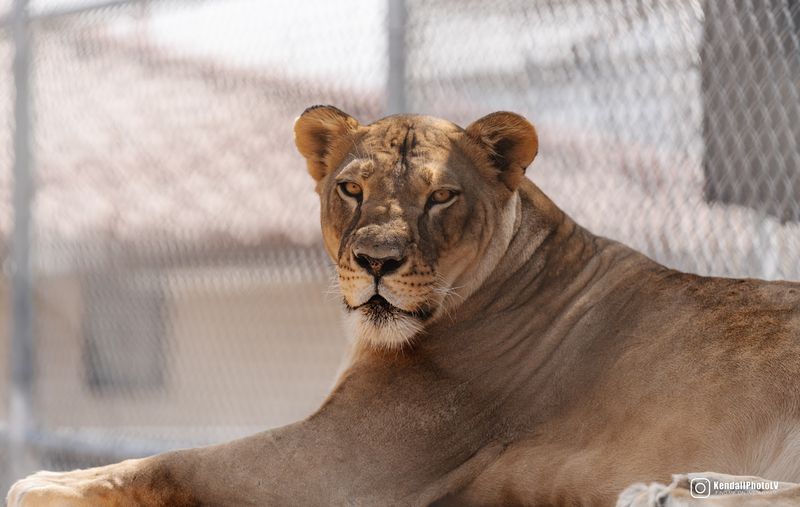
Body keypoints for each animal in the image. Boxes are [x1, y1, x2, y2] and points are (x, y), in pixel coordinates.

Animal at [7, 106, 800, 506]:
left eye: (440, 194)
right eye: (352, 188)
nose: (377, 261)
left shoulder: (339, 464)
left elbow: (171, 461)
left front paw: (43, 484)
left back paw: (671, 493)